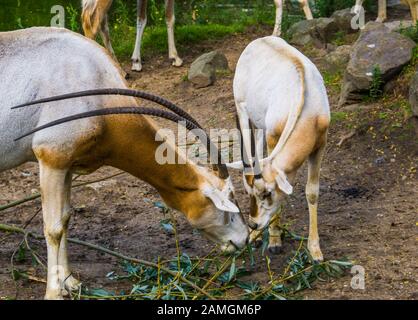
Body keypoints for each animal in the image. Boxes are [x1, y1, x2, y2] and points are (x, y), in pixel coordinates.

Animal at [0, 27, 248, 300]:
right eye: (229, 200)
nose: (245, 239)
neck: (92, 77)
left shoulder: (67, 164)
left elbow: (64, 219)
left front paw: (70, 282)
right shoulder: (50, 160)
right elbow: (53, 228)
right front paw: (54, 292)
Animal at [229, 35, 330, 260]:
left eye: (267, 193)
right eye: (251, 193)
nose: (253, 224)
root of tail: (259, 40)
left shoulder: (320, 145)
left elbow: (312, 191)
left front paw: (315, 250)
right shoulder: (273, 137)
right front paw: (274, 241)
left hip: (259, 123)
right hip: (242, 110)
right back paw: (258, 237)